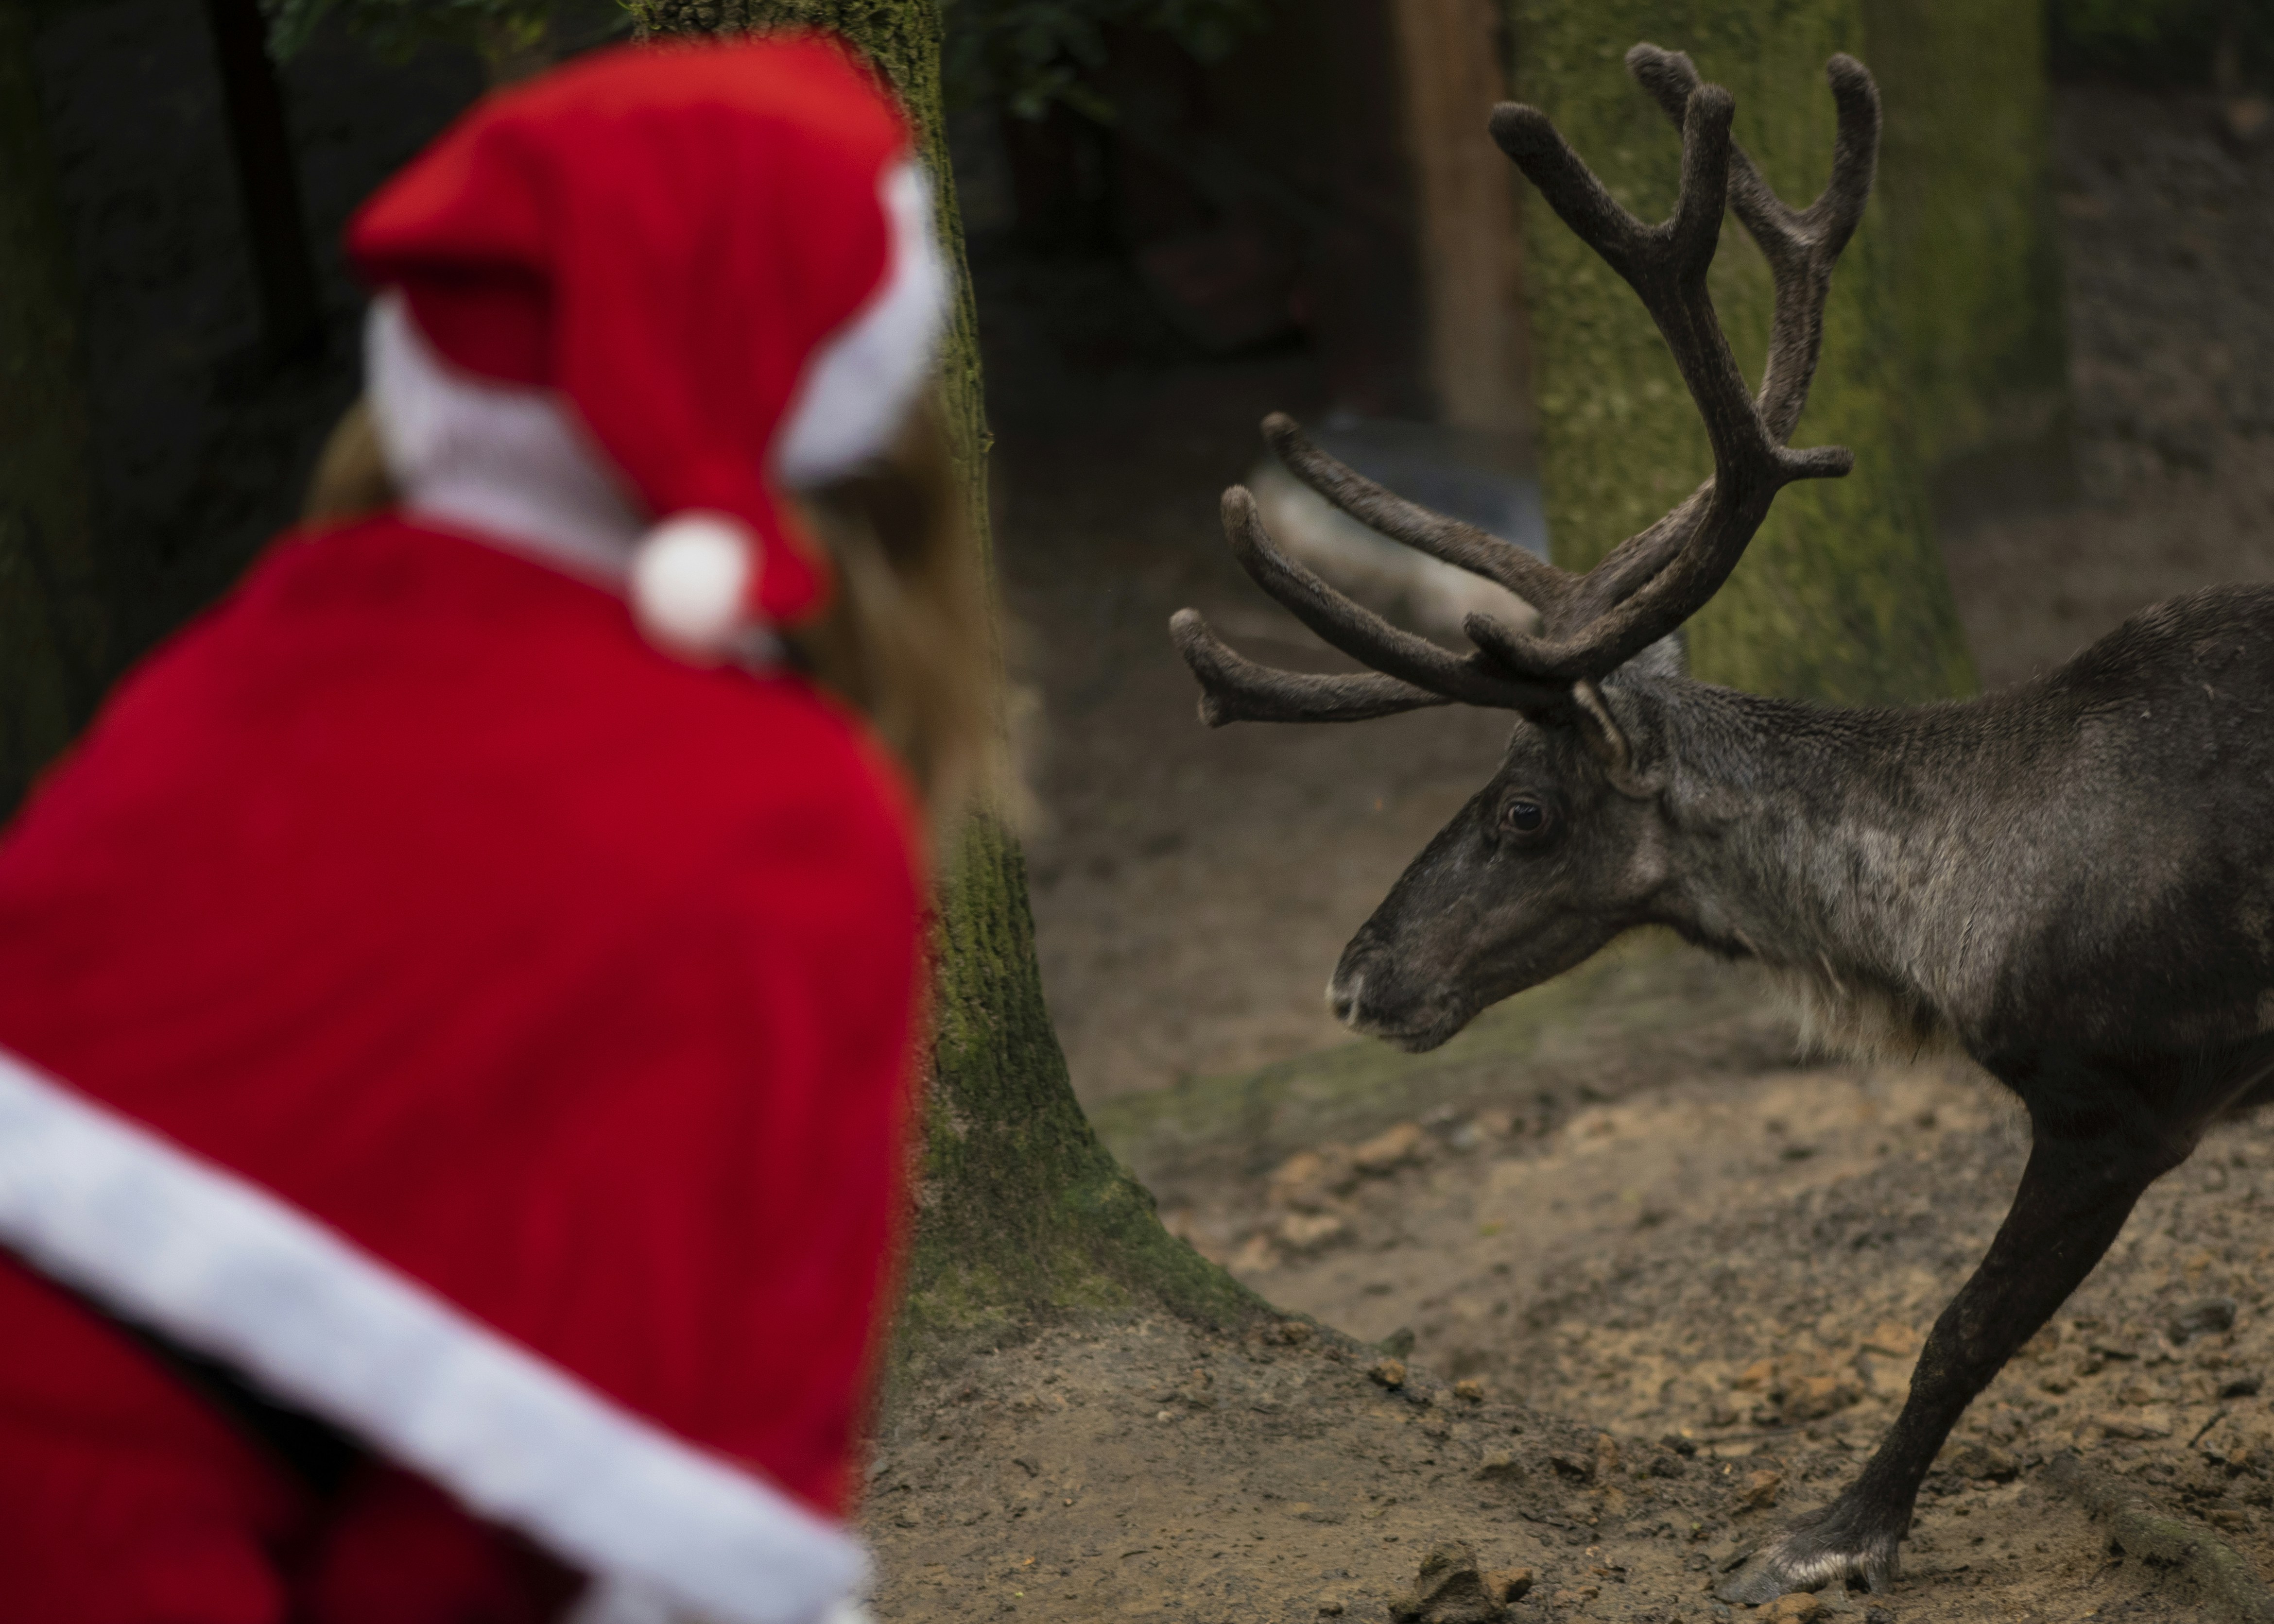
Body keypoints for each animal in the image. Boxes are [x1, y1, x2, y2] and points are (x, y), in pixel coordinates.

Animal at [1167, 42, 2274, 1604]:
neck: (1947, 908)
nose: (1353, 974)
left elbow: (1959, 1324)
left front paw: (1829, 1533)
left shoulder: (2125, 1093)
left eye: (1522, 808)